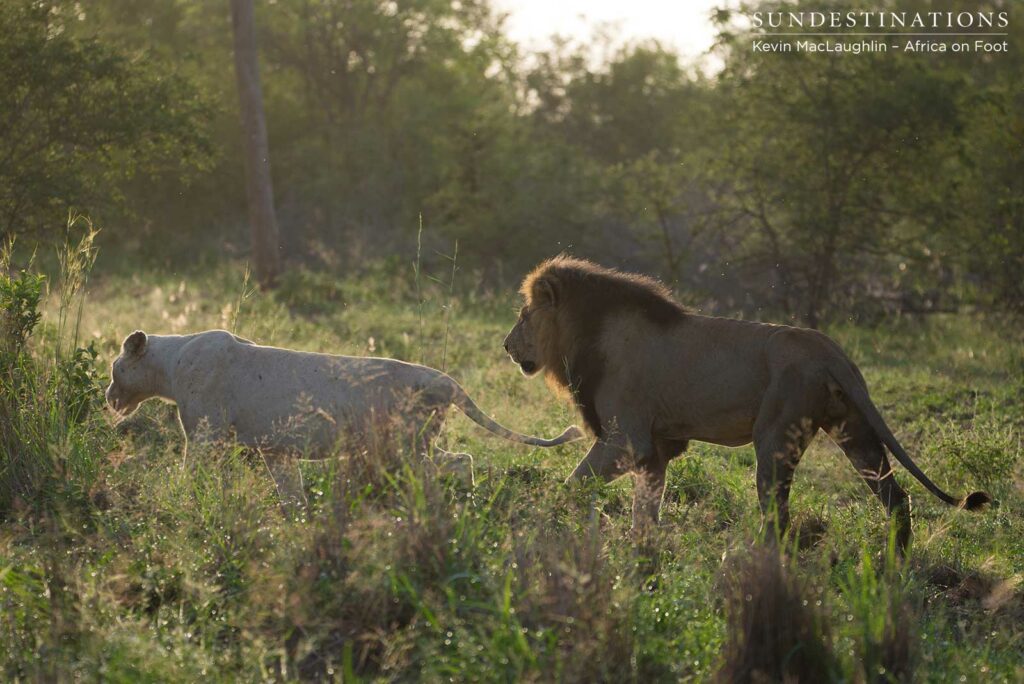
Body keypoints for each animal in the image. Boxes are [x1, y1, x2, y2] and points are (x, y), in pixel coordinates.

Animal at [106, 329, 582, 505]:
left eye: (114, 368)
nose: (109, 396)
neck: (170, 364)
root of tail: (445, 381)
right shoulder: (276, 451)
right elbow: (290, 490)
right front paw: (295, 518)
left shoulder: (205, 436)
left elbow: (191, 474)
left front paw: (176, 498)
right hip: (417, 442)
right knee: (460, 461)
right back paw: (465, 502)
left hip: (403, 446)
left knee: (436, 473)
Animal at [503, 256, 990, 551]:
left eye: (524, 315)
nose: (507, 346)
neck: (583, 335)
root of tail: (831, 351)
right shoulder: (657, 447)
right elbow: (646, 509)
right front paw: (643, 553)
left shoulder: (627, 438)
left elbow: (573, 482)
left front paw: (545, 517)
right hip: (855, 431)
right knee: (896, 498)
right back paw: (895, 564)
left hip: (775, 437)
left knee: (777, 517)